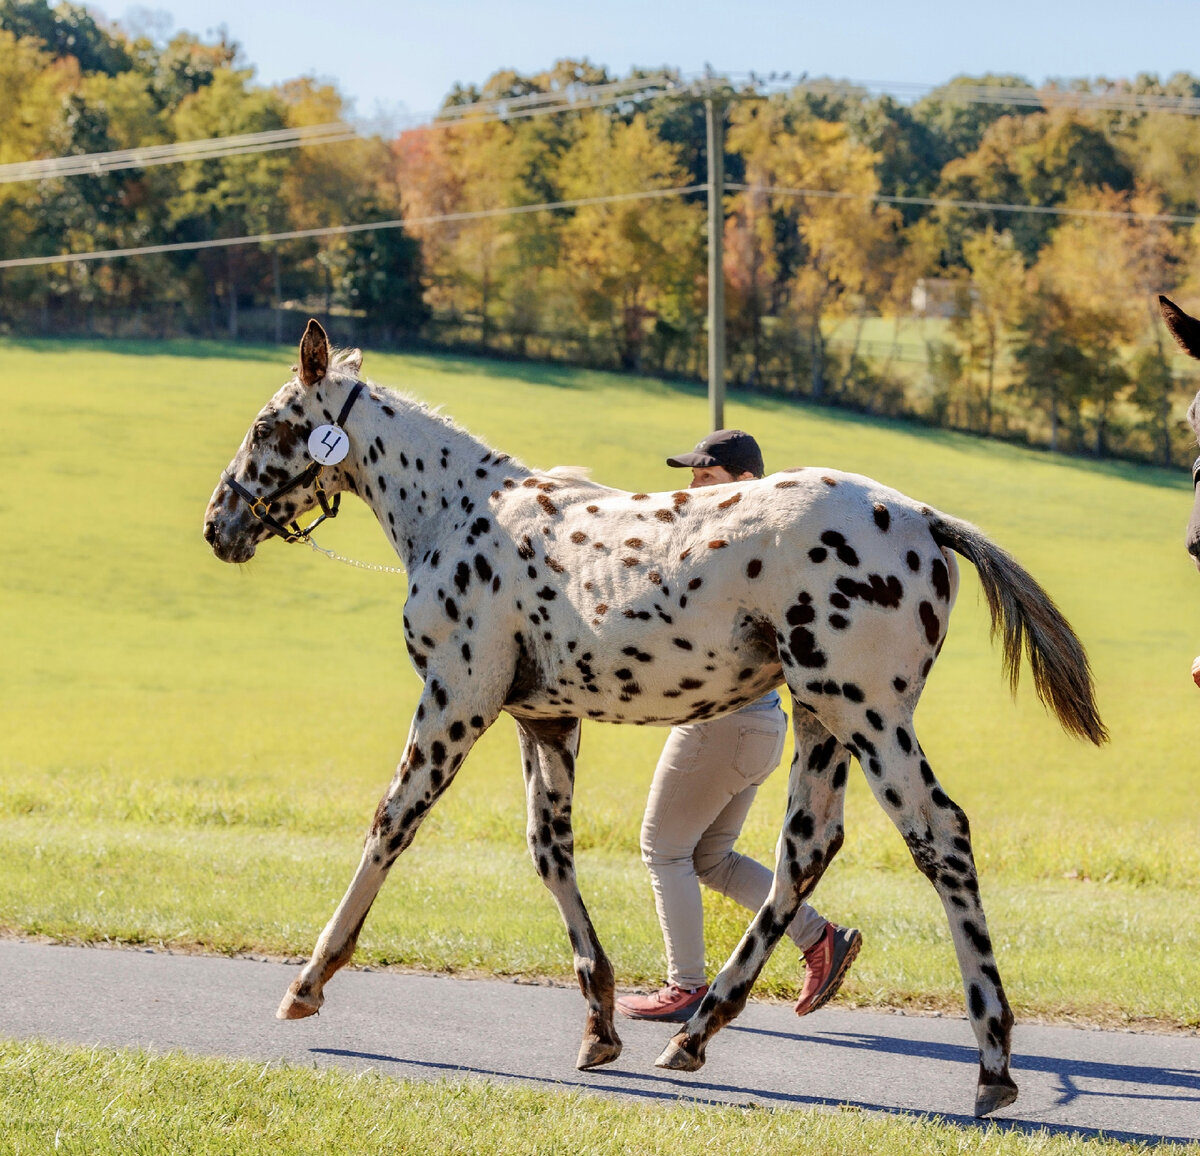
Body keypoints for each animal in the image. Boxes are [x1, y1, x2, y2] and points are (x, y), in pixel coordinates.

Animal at [204, 321, 1104, 1118]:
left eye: (266, 424)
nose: (219, 524)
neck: (459, 514)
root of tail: (923, 518)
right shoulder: (544, 720)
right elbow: (550, 851)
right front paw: (600, 1024)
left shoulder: (458, 698)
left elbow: (391, 824)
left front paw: (307, 983)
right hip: (822, 721)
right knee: (806, 850)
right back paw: (696, 1032)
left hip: (870, 714)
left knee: (938, 834)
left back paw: (992, 1067)